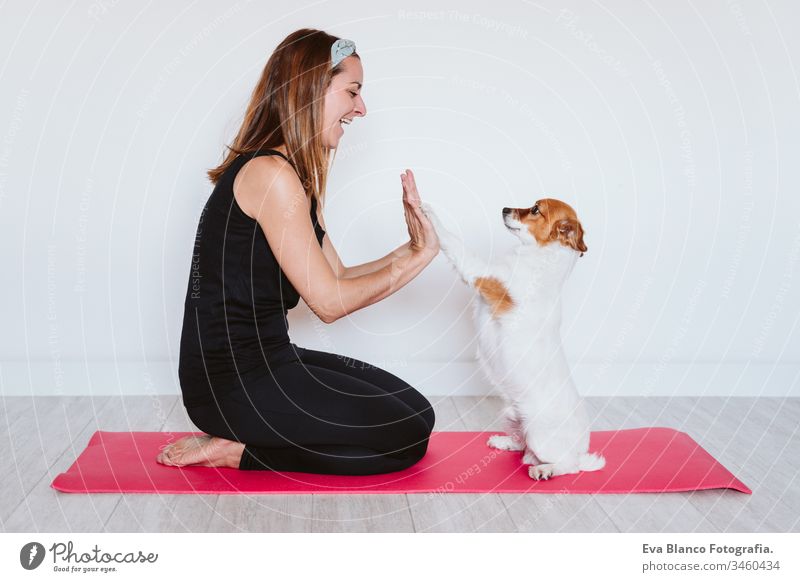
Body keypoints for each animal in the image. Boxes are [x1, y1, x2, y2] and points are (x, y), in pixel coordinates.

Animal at [422, 198, 604, 482]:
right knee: (522, 444)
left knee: (568, 465)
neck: (543, 260)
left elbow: (452, 241)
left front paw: (429, 212)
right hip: (513, 415)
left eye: (535, 210)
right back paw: (505, 442)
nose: (504, 209)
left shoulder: (481, 272)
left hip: (540, 434)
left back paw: (544, 469)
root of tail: (580, 449)